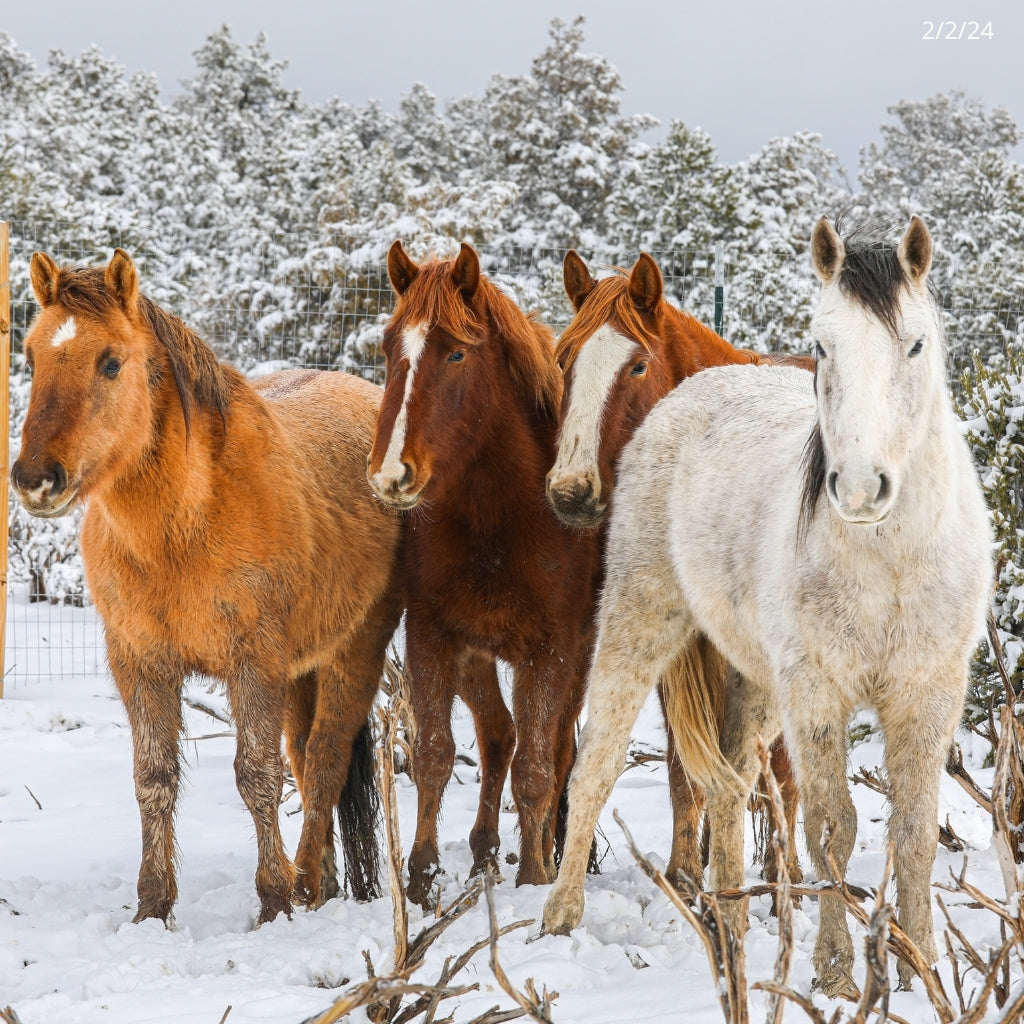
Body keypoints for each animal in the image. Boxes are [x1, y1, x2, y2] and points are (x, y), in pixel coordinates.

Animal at [12, 249, 405, 929]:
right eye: (32, 357)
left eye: (111, 361)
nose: (36, 479)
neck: (186, 524)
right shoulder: (140, 663)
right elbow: (154, 778)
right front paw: (152, 907)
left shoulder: (254, 662)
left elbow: (256, 776)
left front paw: (272, 903)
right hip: (302, 671)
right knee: (305, 757)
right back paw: (321, 884)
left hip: (353, 653)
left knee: (324, 763)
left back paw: (304, 885)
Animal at [366, 239, 598, 905]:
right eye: (388, 347)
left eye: (456, 352)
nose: (391, 474)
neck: (499, 517)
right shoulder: (433, 635)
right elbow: (436, 755)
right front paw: (421, 878)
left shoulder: (551, 650)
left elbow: (538, 768)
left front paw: (535, 877)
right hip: (476, 655)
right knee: (497, 737)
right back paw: (484, 850)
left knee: (554, 750)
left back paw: (542, 853)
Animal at [548, 251, 811, 892]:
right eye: (564, 359)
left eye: (637, 365)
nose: (570, 491)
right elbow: (681, 768)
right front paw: (686, 872)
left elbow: (775, 770)